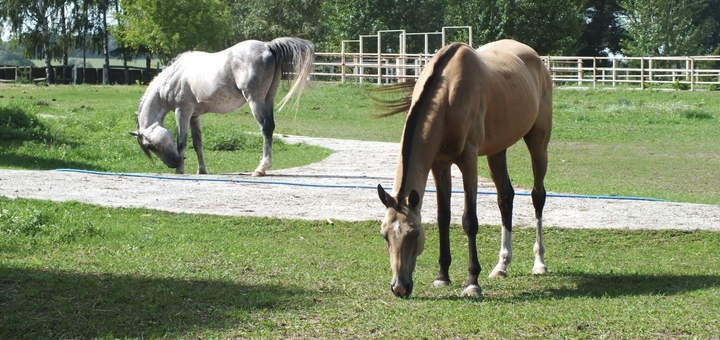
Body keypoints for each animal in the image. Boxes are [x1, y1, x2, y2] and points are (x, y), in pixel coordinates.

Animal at [130, 36, 316, 175]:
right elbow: (197, 143)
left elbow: (181, 142)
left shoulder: (182, 111)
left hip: (255, 100)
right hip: (268, 99)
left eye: (149, 145)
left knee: (266, 128)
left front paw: (180, 172)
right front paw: (201, 170)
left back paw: (261, 168)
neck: (173, 77)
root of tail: (267, 46)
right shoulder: (195, 116)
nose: (174, 163)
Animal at [374, 38, 556, 296]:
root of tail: (535, 58)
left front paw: (472, 282)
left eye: (415, 233)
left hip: (538, 144)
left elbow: (469, 220)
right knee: (505, 198)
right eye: (385, 235)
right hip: (497, 151)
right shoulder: (439, 164)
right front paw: (442, 276)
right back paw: (501, 266)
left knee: (538, 196)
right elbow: (443, 217)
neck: (448, 92)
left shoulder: (469, 160)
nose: (399, 287)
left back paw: (539, 263)